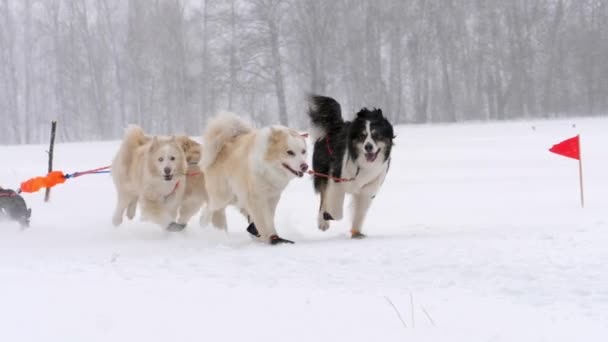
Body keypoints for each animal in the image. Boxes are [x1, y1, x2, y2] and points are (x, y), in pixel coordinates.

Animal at [202, 112, 308, 243]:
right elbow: (261, 221)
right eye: (290, 152)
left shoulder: (272, 198)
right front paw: (268, 239)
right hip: (222, 196)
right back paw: (205, 224)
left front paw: (273, 236)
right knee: (211, 208)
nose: (305, 166)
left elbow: (269, 219)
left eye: (303, 151)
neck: (269, 168)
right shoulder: (255, 198)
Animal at [308, 93, 394, 238]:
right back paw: (323, 222)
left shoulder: (368, 189)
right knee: (323, 197)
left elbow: (359, 213)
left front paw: (356, 233)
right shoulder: (337, 177)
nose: (368, 147)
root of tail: (335, 125)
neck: (363, 164)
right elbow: (336, 211)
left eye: (376, 135)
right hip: (322, 170)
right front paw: (327, 216)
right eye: (362, 136)